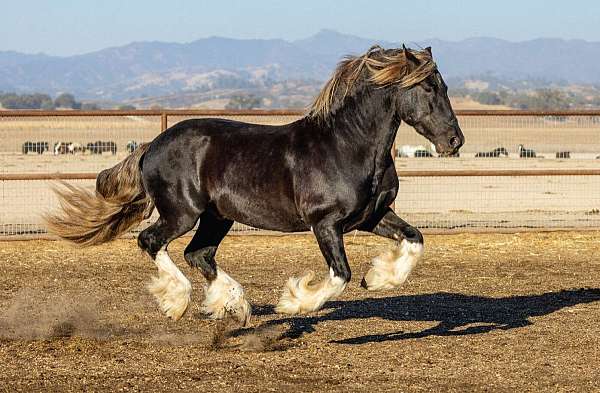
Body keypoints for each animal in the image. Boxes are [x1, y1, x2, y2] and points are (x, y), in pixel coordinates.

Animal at [44, 45, 464, 324]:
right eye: (427, 88)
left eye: (444, 86)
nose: (454, 141)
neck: (347, 145)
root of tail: (152, 146)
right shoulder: (325, 223)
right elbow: (339, 275)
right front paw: (295, 301)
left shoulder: (371, 216)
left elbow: (414, 240)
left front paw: (377, 277)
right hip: (182, 213)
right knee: (152, 241)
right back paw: (178, 302)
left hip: (218, 217)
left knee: (199, 254)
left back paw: (231, 304)